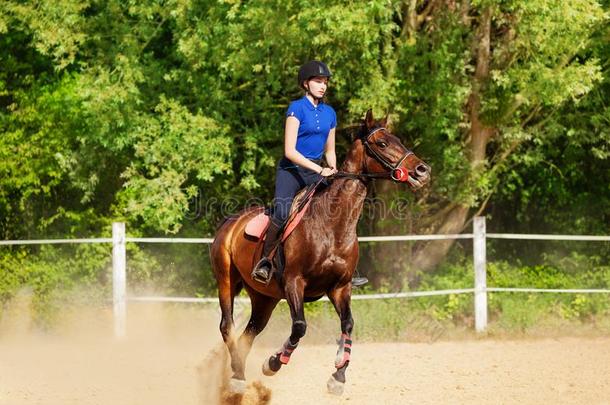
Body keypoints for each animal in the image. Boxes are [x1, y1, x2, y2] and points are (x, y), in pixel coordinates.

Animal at [211, 109, 430, 396]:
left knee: (249, 333)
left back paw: (237, 373)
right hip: (226, 280)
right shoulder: (294, 282)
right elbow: (300, 327)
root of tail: (230, 222)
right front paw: (273, 362)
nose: (422, 170)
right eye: (382, 143)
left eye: (399, 140)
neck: (333, 225)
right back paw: (237, 379)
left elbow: (348, 324)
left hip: (264, 297)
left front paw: (338, 375)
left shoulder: (340, 287)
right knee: (227, 326)